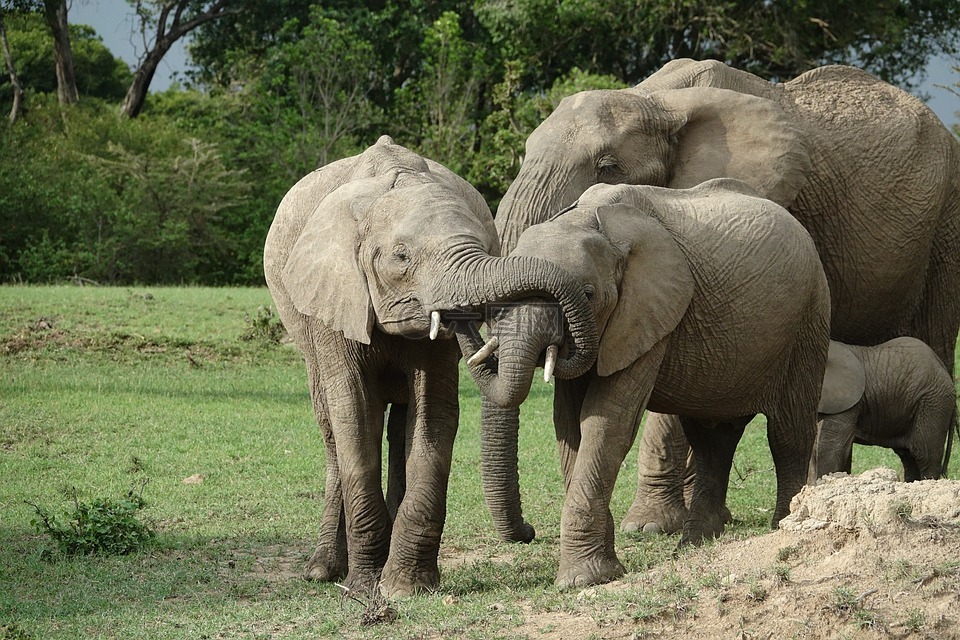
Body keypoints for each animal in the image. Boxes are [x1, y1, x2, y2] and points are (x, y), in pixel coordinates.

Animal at [258, 136, 596, 600]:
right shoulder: (333, 299)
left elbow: (434, 414)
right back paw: (323, 570)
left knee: (401, 425)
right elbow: (353, 413)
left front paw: (405, 588)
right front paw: (364, 590)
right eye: (401, 256)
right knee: (330, 427)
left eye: (486, 248)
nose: (529, 532)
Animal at [460, 178, 832, 588]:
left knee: (788, 431)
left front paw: (585, 579)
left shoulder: (646, 313)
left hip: (810, 318)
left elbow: (606, 421)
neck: (587, 221)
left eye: (588, 294)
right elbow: (570, 425)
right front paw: (598, 570)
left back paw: (784, 524)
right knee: (712, 437)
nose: (528, 533)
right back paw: (694, 543)